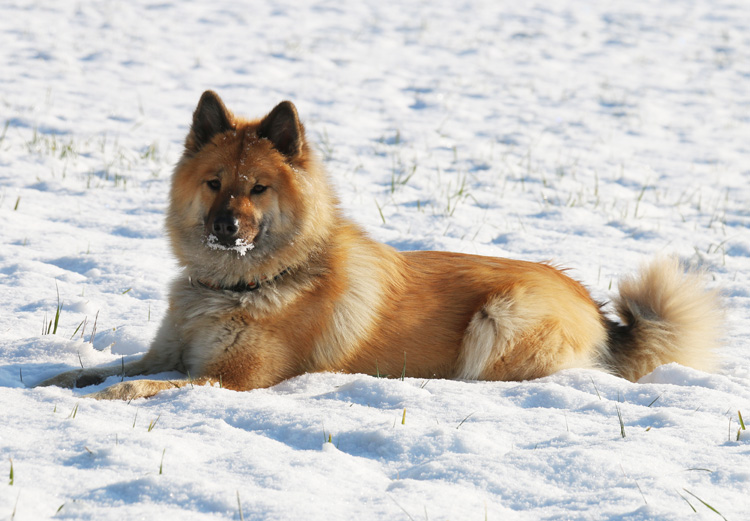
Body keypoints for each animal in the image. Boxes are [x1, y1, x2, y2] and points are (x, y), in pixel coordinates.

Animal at [38, 90, 724, 398]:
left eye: (258, 188)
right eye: (214, 184)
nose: (225, 228)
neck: (241, 285)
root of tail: (597, 311)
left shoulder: (234, 377)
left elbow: (148, 386)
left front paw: (112, 396)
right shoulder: (168, 351)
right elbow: (115, 366)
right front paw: (60, 378)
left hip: (501, 318)